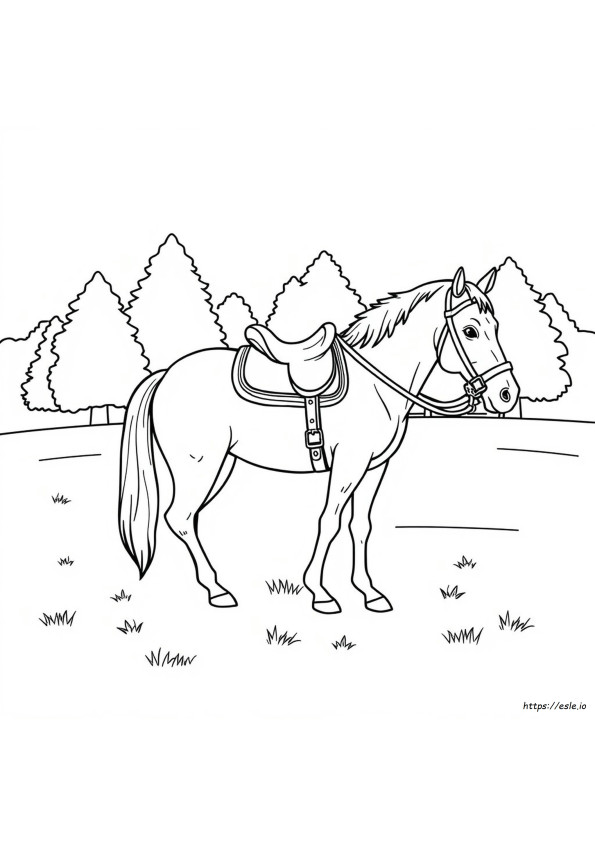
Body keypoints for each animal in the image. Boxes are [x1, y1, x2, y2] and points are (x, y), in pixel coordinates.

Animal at [119, 267, 518, 614]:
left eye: (497, 326)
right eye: (470, 331)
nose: (507, 394)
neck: (375, 382)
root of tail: (166, 374)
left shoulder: (374, 467)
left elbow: (360, 526)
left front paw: (370, 593)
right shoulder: (349, 464)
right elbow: (330, 521)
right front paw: (321, 593)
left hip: (221, 466)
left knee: (190, 517)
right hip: (198, 464)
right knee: (182, 517)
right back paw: (218, 591)